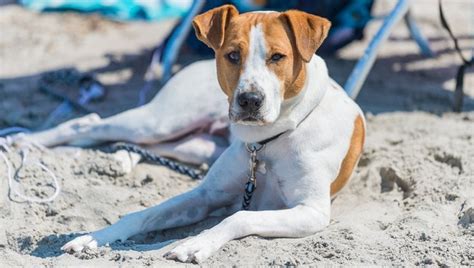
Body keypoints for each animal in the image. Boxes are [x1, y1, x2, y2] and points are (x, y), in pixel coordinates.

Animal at [15, 4, 366, 264]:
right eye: (232, 55)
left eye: (278, 57)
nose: (250, 100)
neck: (265, 144)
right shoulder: (205, 195)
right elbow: (143, 214)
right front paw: (95, 237)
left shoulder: (311, 212)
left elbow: (238, 217)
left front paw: (195, 244)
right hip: (162, 121)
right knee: (88, 123)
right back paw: (24, 140)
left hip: (193, 145)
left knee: (127, 140)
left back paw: (116, 159)